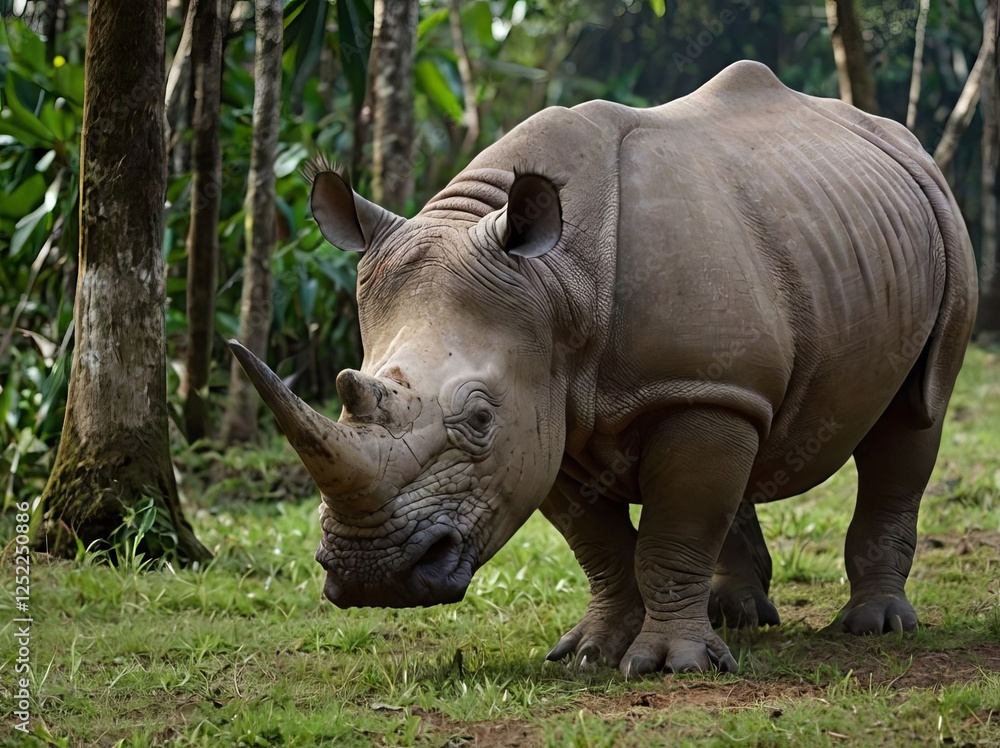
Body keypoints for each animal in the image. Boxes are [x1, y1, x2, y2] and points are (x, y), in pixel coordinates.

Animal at [230, 61, 977, 677]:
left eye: (479, 417)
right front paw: (591, 653)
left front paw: (673, 667)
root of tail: (898, 141)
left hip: (943, 222)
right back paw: (736, 616)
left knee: (915, 415)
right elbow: (601, 542)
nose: (371, 577)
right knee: (748, 435)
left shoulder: (675, 386)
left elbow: (675, 528)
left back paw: (875, 628)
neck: (554, 286)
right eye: (349, 392)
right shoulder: (553, 409)